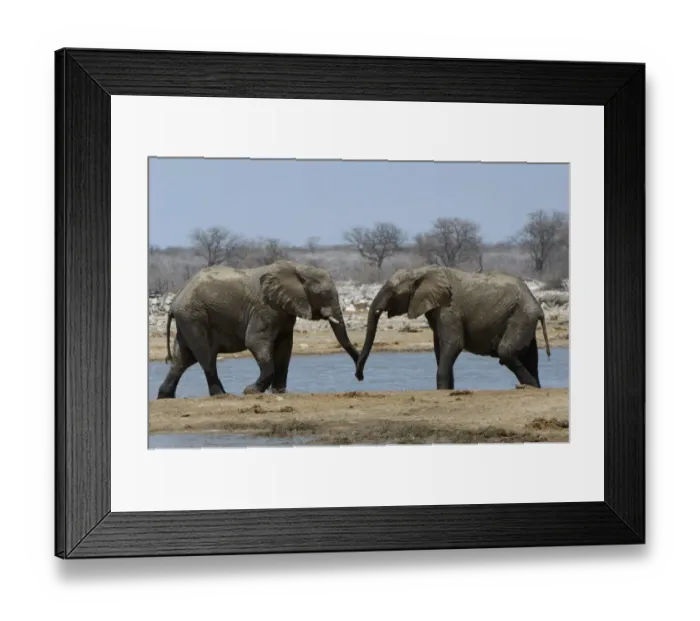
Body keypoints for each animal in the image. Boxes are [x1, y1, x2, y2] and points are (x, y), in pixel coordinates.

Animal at [156, 260, 359, 399]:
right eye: (323, 294)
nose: (359, 375)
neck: (297, 268)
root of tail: (175, 302)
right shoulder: (265, 307)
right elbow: (255, 341)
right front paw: (250, 392)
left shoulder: (283, 311)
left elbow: (285, 347)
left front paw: (279, 392)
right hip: (194, 317)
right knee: (206, 356)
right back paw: (222, 395)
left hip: (188, 319)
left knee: (182, 359)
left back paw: (165, 396)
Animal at [354, 266, 551, 390]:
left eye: (392, 291)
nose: (360, 377)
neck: (422, 271)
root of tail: (538, 306)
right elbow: (440, 348)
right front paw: (447, 390)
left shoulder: (449, 308)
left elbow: (453, 344)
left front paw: (442, 390)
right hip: (524, 319)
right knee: (530, 357)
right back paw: (535, 387)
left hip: (521, 317)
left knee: (506, 352)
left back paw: (529, 387)